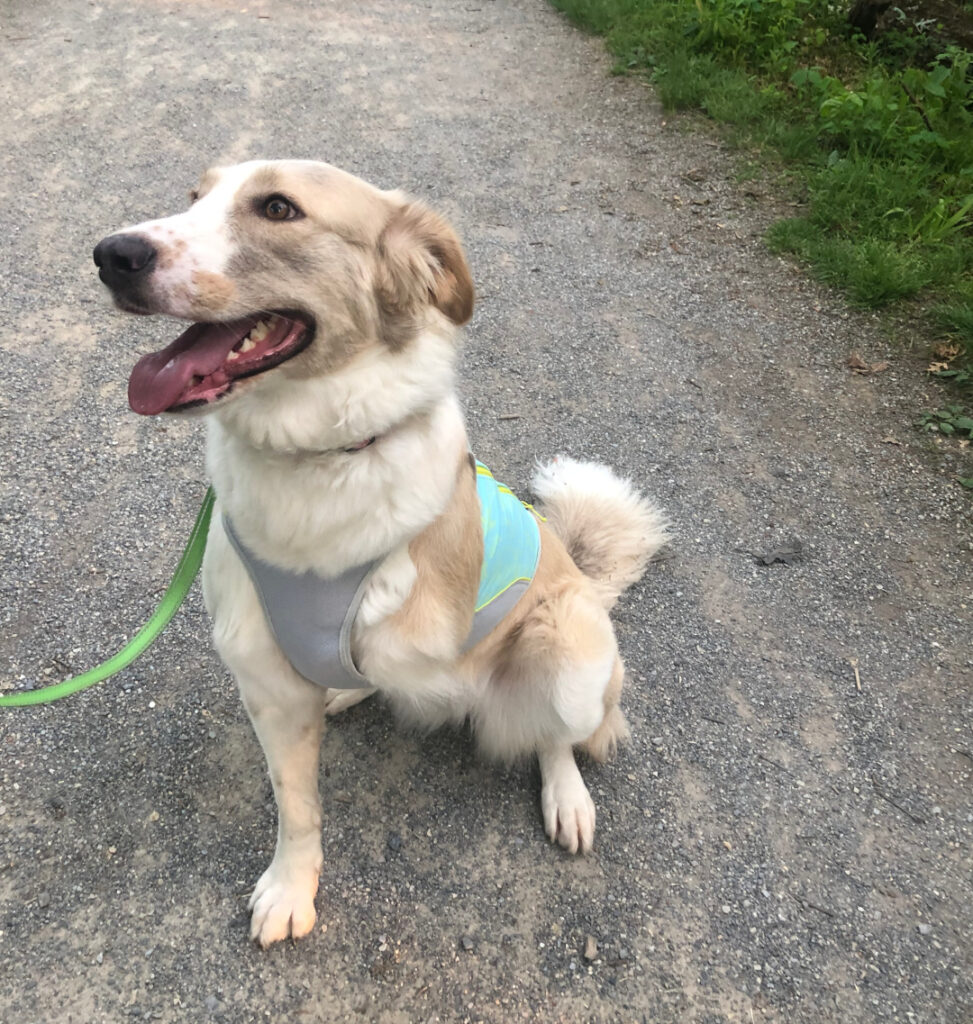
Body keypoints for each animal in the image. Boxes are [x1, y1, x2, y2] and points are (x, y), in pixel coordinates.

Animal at [93, 155, 671, 946]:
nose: (111, 255)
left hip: (568, 649)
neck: (319, 457)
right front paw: (291, 888)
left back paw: (567, 798)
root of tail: (583, 574)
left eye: (278, 208)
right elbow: (297, 808)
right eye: (194, 197)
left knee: (555, 736)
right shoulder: (268, 684)